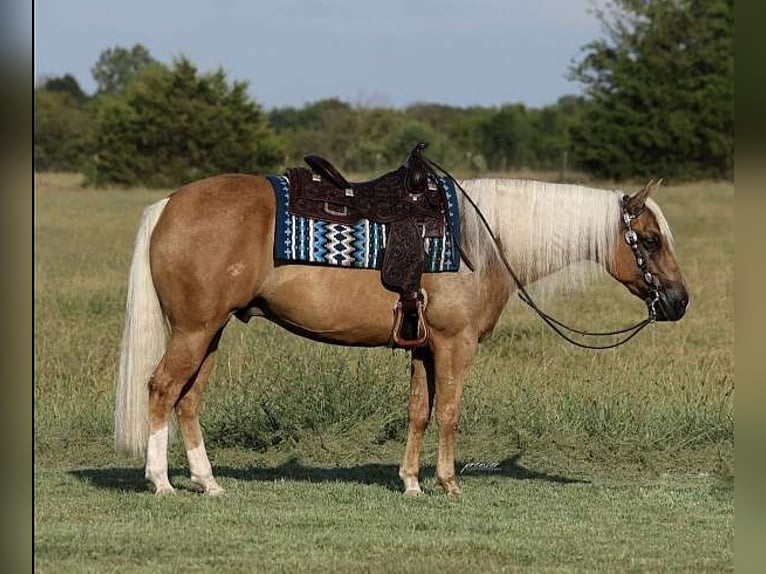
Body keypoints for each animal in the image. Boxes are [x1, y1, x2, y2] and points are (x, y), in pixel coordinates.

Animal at [114, 175, 688, 496]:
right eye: (650, 241)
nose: (679, 302)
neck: (479, 244)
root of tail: (169, 204)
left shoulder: (423, 348)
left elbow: (419, 412)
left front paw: (411, 482)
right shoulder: (454, 345)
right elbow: (450, 412)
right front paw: (449, 484)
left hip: (209, 333)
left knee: (188, 401)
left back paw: (208, 483)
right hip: (193, 331)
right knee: (162, 390)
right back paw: (161, 482)